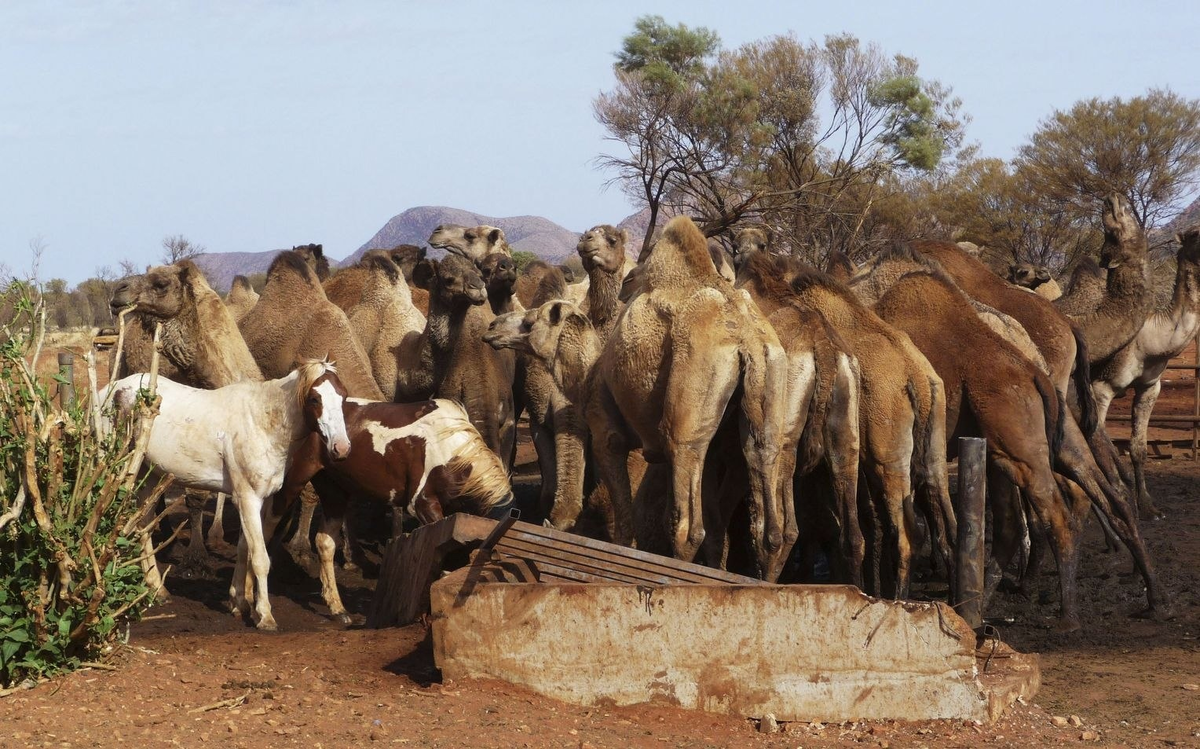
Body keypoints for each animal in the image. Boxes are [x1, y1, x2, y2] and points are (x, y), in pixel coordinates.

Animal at [108, 360, 350, 628]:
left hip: (148, 475)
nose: (341, 448)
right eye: (315, 399)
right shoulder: (248, 498)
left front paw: (239, 603)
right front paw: (265, 616)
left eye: (343, 396)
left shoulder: (260, 501)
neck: (263, 423)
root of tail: (113, 388)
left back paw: (157, 590)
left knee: (144, 525)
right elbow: (260, 558)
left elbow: (245, 549)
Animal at [274, 400, 511, 624]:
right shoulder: (422, 503)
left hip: (333, 490)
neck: (451, 450)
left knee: (324, 542)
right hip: (292, 481)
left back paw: (339, 610)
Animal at [583, 213, 787, 576]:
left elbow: (623, 518)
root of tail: (748, 341)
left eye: (610, 239)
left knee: (687, 528)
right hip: (768, 384)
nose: (584, 240)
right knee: (768, 525)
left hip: (687, 414)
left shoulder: (604, 424)